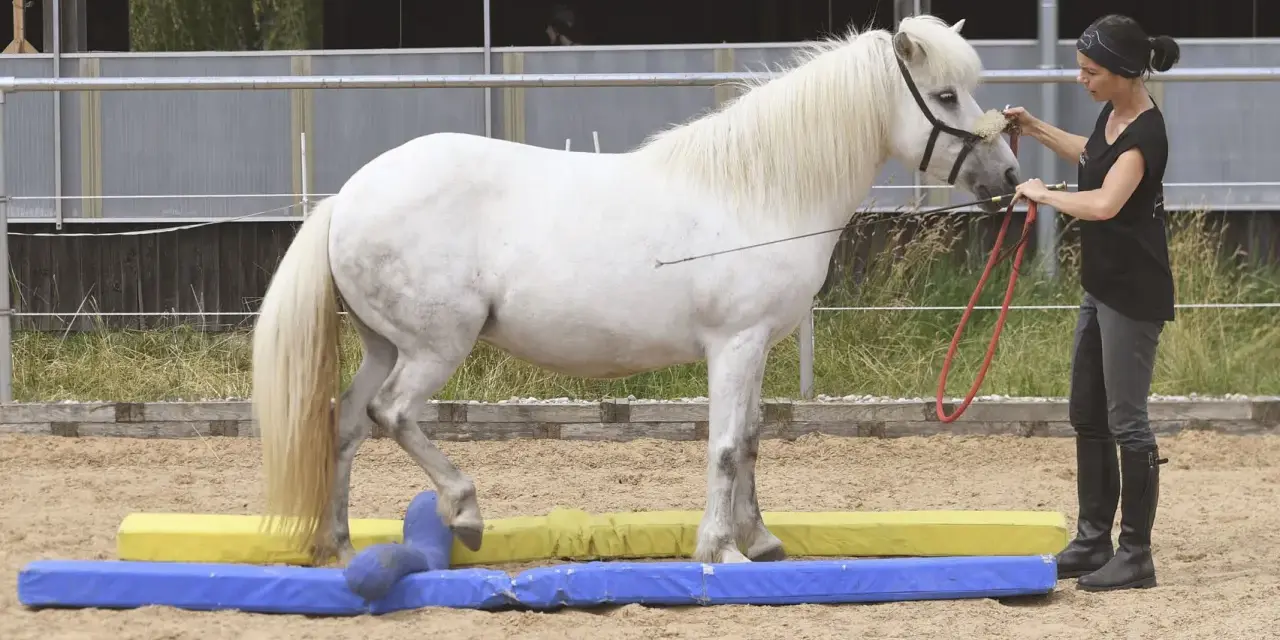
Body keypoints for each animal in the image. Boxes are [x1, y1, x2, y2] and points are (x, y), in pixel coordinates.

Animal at [251, 14, 1022, 566]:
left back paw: (342, 545)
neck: (760, 193)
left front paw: (760, 541)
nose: (1009, 178)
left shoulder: (755, 349)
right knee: (393, 414)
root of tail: (347, 196)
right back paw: (465, 513)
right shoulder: (734, 344)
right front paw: (719, 552)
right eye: (946, 95)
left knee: (346, 424)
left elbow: (750, 440)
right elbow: (724, 446)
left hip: (385, 345)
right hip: (435, 348)